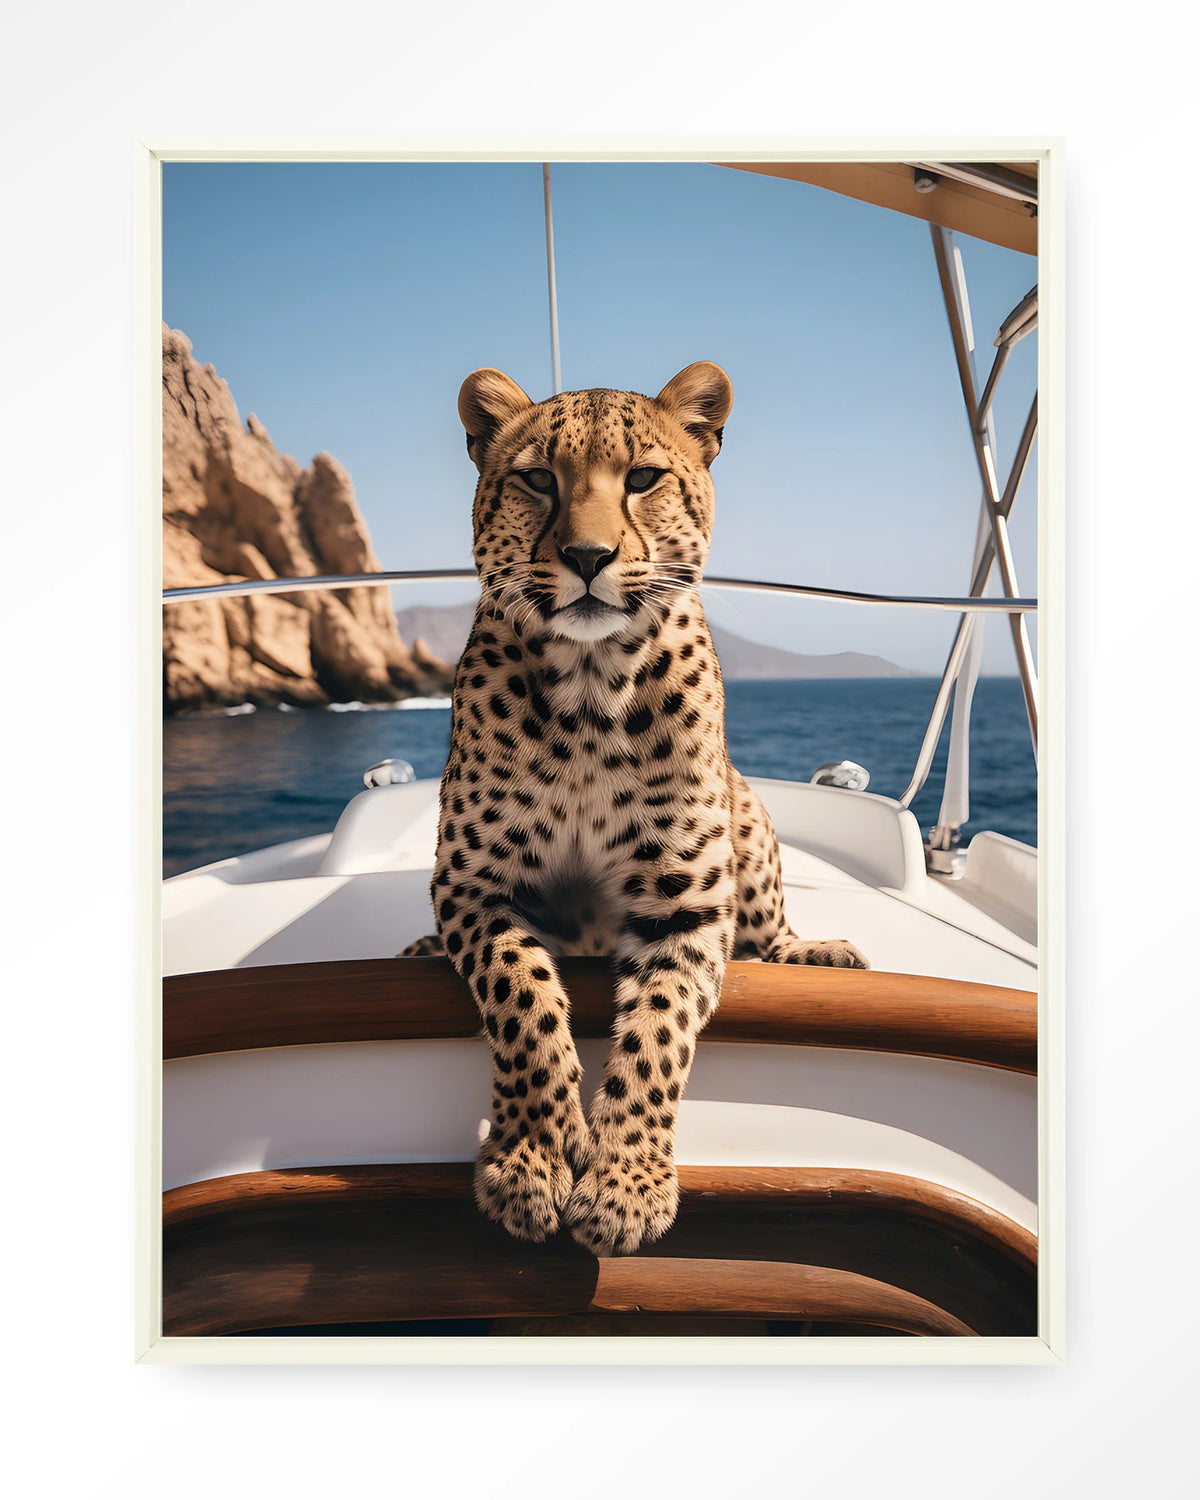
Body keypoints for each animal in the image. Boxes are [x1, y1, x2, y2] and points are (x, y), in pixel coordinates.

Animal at [401, 360, 867, 1257]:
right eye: (538, 480)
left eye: (644, 479)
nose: (588, 556)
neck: (590, 690)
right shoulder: (474, 884)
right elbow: (523, 998)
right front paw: (534, 1158)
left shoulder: (686, 904)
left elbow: (657, 1035)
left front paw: (625, 1186)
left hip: (750, 818)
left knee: (768, 932)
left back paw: (815, 954)